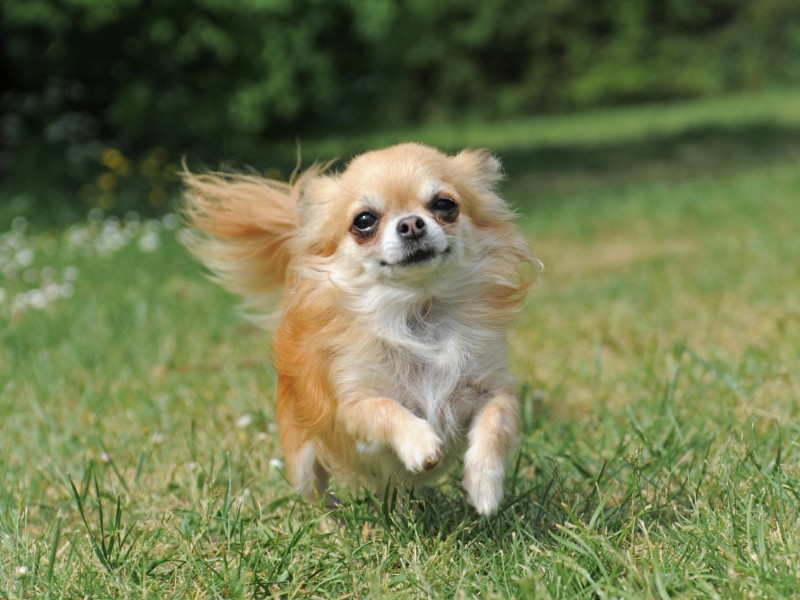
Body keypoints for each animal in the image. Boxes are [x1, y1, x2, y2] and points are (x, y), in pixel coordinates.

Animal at [183, 143, 536, 512]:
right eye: (364, 221)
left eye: (444, 205)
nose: (411, 224)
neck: (417, 312)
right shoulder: (352, 407)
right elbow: (386, 409)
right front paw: (421, 443)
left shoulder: (492, 389)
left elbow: (496, 422)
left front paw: (484, 486)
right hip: (303, 460)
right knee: (315, 493)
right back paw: (335, 517)